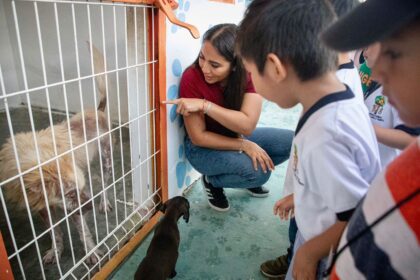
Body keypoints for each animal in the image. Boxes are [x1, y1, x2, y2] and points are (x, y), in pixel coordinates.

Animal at [0, 43, 112, 264]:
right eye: (69, 193)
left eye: (78, 189)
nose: (89, 207)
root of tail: (97, 111)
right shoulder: (44, 208)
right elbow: (55, 232)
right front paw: (56, 251)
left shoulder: (75, 209)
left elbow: (83, 232)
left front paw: (92, 252)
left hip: (106, 161)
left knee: (105, 184)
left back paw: (104, 202)